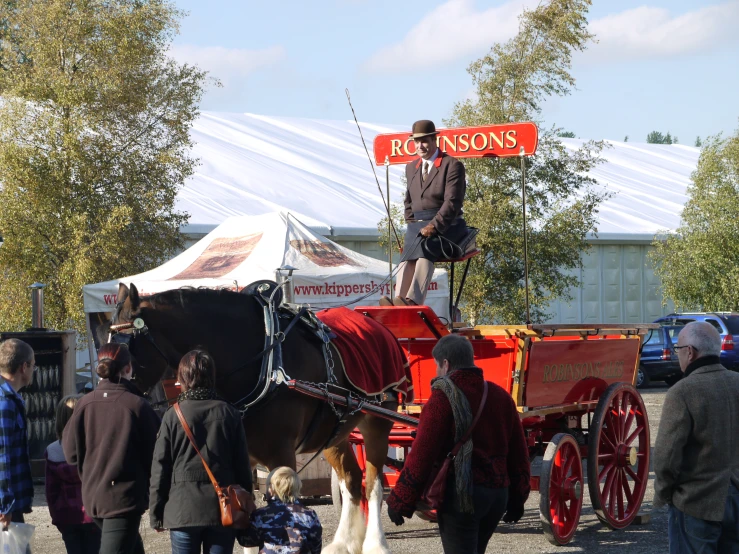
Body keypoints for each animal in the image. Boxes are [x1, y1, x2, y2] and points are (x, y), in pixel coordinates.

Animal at [103, 282, 398, 552]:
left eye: (125, 345)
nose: (105, 379)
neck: (265, 361)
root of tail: (377, 325)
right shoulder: (242, 455)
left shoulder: (281, 454)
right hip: (335, 432)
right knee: (351, 480)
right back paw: (343, 543)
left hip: (378, 422)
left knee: (372, 484)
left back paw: (376, 543)